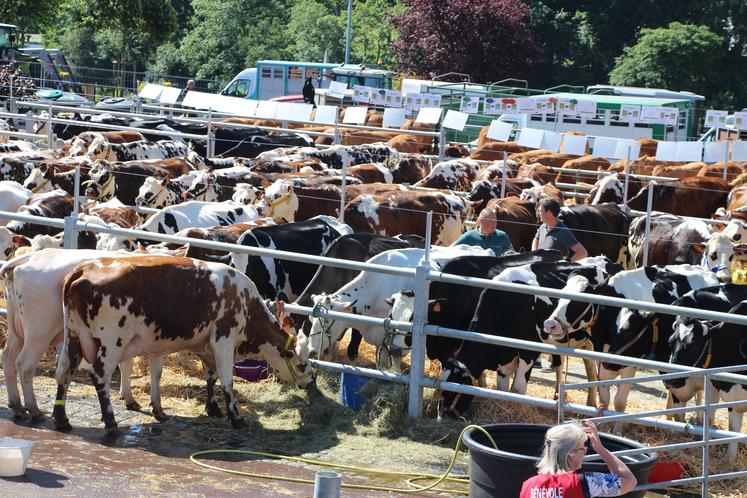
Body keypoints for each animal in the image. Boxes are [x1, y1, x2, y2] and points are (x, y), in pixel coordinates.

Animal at [54, 255, 312, 430]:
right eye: (302, 364)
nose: (310, 383)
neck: (244, 302)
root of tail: (83, 268)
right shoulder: (224, 340)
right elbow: (227, 379)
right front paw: (235, 417)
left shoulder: (205, 346)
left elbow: (209, 376)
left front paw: (211, 407)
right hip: (110, 342)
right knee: (99, 375)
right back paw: (110, 421)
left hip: (74, 336)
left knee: (65, 370)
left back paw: (62, 418)